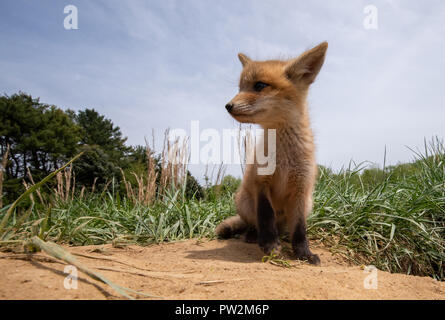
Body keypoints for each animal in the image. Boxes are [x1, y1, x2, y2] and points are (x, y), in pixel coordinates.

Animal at [215, 41, 326, 264]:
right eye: (240, 88)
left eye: (259, 86)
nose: (228, 106)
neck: (283, 160)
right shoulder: (261, 182)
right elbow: (266, 218)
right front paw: (270, 246)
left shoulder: (301, 190)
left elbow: (300, 230)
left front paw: (304, 253)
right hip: (245, 201)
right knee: (253, 223)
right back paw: (252, 235)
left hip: (307, 204)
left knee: (285, 228)